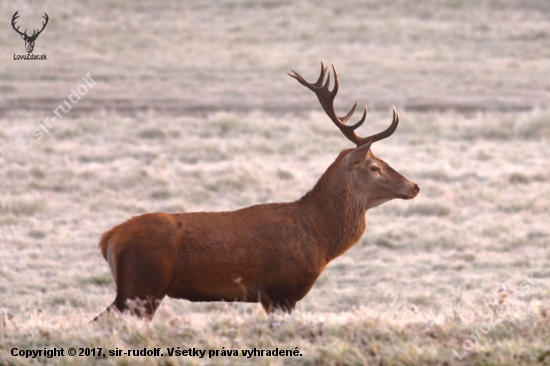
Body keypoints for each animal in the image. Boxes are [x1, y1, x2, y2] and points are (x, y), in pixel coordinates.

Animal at [95, 63, 422, 320]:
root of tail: (109, 238)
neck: (318, 238)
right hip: (141, 285)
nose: (414, 186)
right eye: (375, 167)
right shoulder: (282, 289)